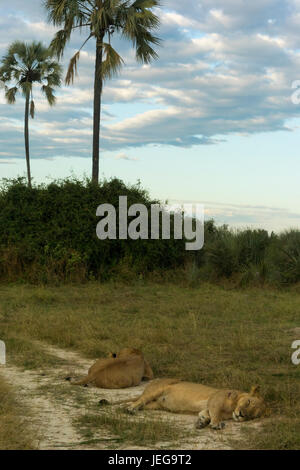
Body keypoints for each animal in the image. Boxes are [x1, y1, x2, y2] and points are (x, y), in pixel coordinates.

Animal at [110, 378, 268, 430]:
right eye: (248, 402)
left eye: (252, 416)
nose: (241, 415)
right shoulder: (215, 400)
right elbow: (216, 415)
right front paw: (216, 424)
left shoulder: (207, 407)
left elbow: (206, 414)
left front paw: (202, 422)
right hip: (155, 391)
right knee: (139, 400)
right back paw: (130, 409)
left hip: (155, 405)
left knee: (140, 403)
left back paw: (127, 408)